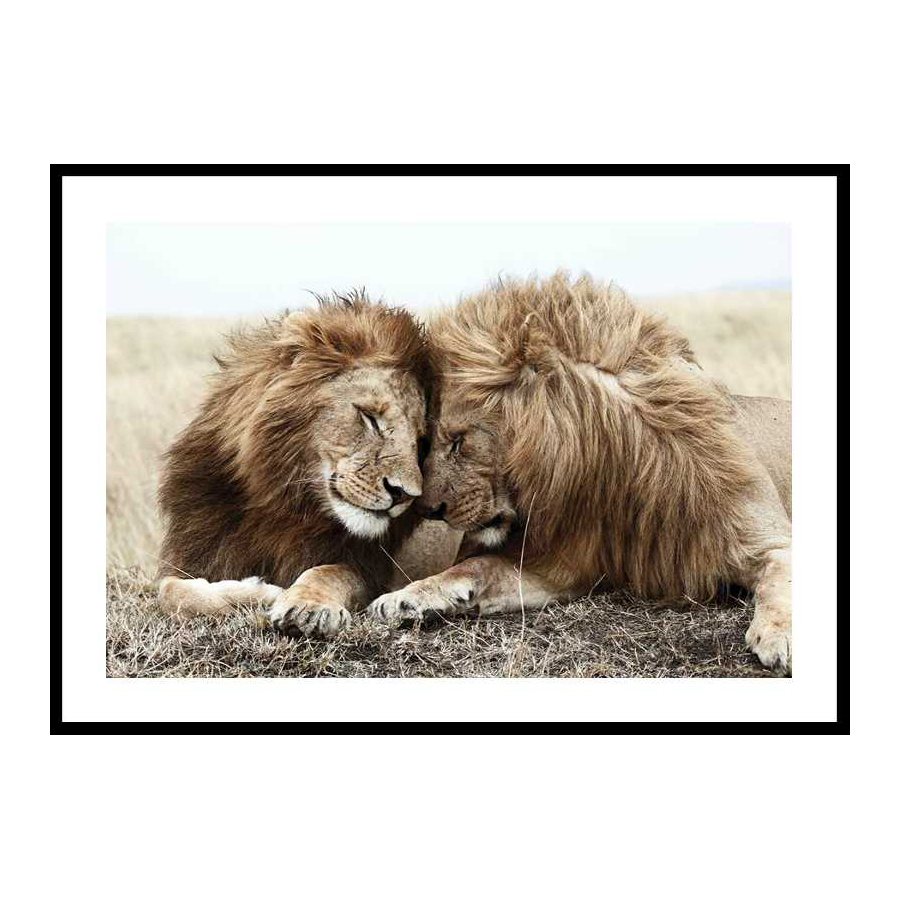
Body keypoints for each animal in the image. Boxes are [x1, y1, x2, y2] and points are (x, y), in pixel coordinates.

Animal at [157, 291, 434, 639]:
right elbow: (170, 592)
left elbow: (329, 571)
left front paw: (306, 607)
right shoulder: (194, 555)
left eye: (420, 441)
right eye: (370, 418)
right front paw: (258, 593)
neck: (283, 503)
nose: (404, 495)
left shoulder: (370, 569)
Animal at [367, 273, 793, 674]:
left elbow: (781, 580)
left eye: (458, 441)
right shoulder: (563, 564)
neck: (612, 469)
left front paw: (780, 638)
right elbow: (477, 566)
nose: (427, 509)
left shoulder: (768, 539)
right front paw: (405, 598)